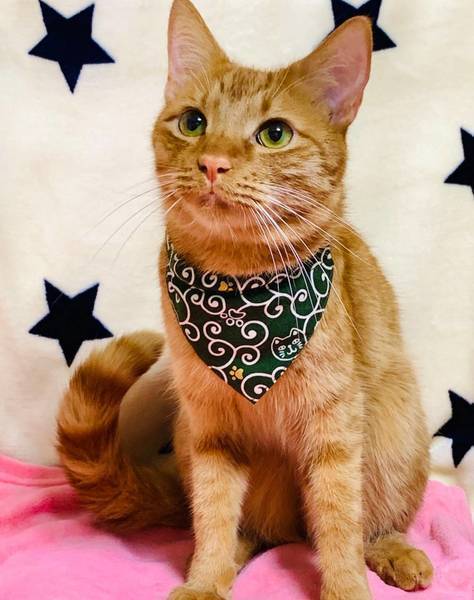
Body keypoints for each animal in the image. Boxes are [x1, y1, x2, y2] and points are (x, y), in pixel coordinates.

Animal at [57, 1, 434, 598]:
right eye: (193, 122)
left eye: (274, 134)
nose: (213, 162)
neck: (241, 291)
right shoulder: (211, 432)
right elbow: (213, 514)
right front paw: (205, 578)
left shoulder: (335, 432)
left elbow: (339, 520)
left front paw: (346, 586)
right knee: (249, 528)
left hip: (394, 434)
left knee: (371, 520)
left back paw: (393, 550)